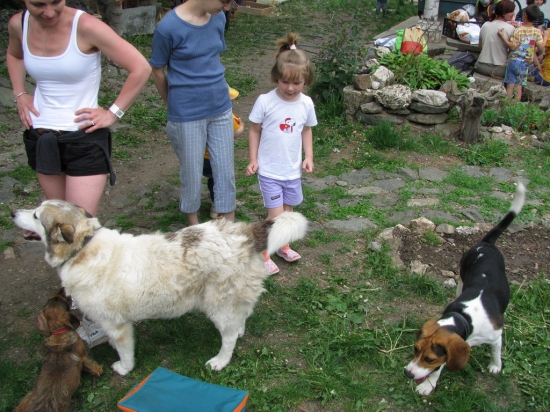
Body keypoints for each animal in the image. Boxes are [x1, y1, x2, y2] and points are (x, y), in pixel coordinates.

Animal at [11, 201, 310, 374]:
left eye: (36, 215)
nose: (12, 212)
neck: (82, 247)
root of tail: (245, 232)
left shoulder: (116, 325)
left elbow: (125, 352)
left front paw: (123, 368)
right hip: (232, 300)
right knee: (241, 319)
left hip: (219, 307)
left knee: (228, 338)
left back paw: (219, 361)